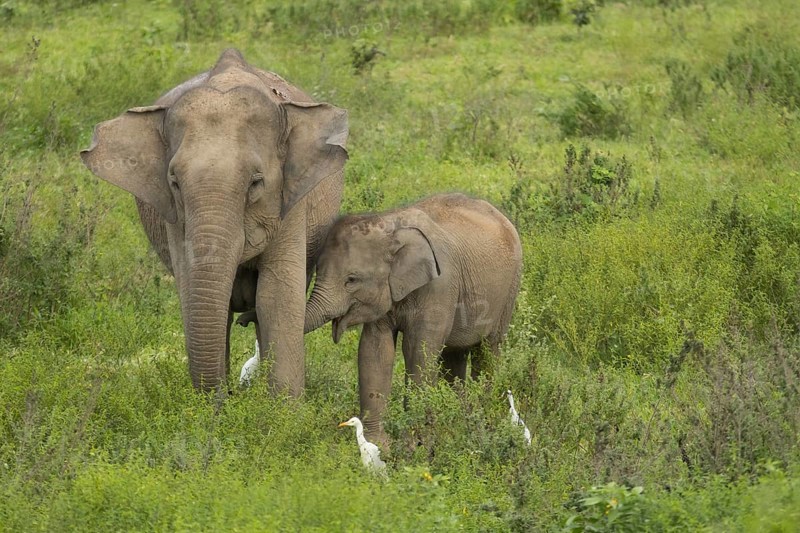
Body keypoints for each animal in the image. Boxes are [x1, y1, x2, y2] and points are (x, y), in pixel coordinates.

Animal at [81, 49, 348, 395]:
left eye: (255, 183)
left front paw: (282, 408)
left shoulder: (291, 203)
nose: (225, 397)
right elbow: (193, 294)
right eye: (174, 183)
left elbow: (275, 297)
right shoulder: (174, 217)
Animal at [304, 193, 522, 443]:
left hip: (508, 292)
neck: (389, 224)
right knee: (453, 356)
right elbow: (375, 350)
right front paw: (378, 444)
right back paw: (461, 420)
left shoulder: (440, 285)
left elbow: (418, 350)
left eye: (351, 280)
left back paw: (483, 420)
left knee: (487, 350)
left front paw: (415, 441)